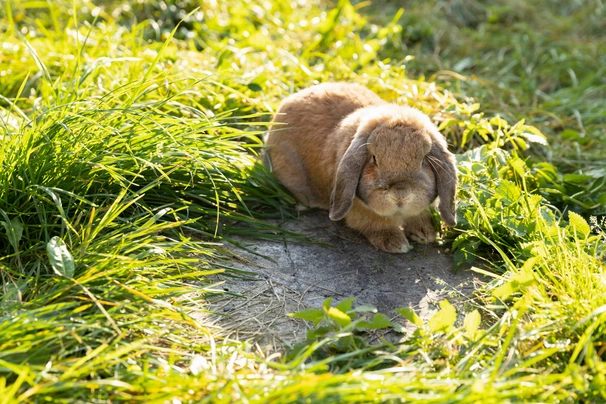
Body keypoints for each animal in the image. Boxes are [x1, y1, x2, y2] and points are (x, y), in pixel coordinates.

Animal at [264, 82, 458, 252]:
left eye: (423, 160)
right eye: (374, 159)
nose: (400, 195)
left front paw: (425, 234)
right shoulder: (361, 212)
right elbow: (376, 224)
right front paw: (396, 244)